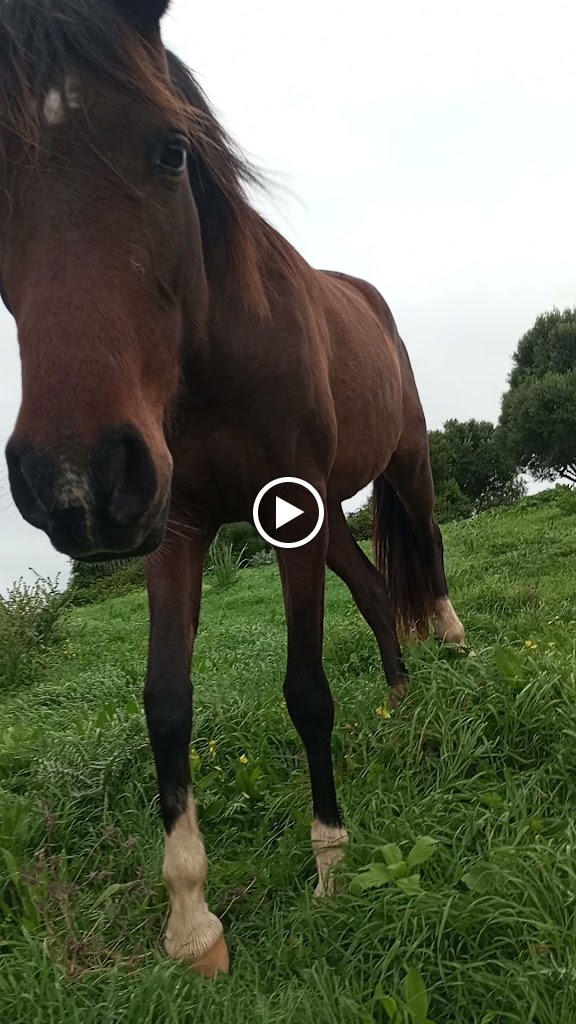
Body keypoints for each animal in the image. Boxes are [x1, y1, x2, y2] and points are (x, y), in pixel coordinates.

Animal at [0, 0, 465, 977]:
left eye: (171, 149)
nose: (75, 479)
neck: (215, 352)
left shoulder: (287, 512)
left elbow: (307, 689)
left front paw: (331, 863)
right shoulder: (172, 527)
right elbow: (166, 705)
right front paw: (192, 921)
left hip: (403, 465)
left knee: (430, 548)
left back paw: (454, 647)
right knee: (376, 590)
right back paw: (402, 702)